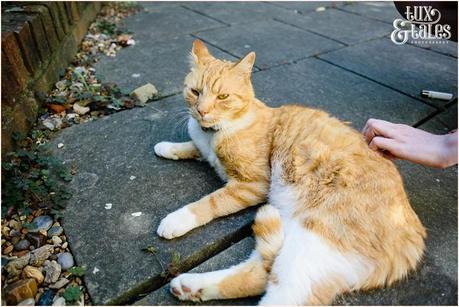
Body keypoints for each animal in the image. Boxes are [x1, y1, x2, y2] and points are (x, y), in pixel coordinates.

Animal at [155, 40, 428, 306]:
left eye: (223, 96)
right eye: (195, 92)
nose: (201, 112)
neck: (216, 133)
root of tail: (414, 236)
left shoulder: (252, 185)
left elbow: (209, 203)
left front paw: (176, 220)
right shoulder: (206, 149)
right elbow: (192, 147)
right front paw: (166, 147)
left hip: (312, 243)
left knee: (282, 292)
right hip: (289, 228)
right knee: (261, 271)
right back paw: (190, 287)